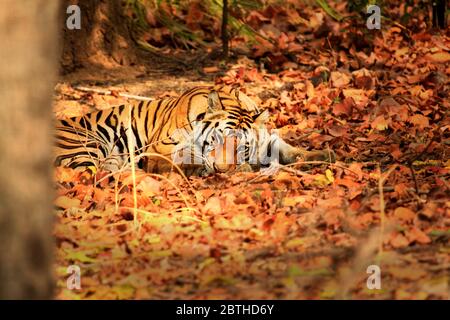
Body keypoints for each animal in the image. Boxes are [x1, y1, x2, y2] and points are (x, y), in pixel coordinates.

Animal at [53, 85, 334, 175]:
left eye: (242, 147)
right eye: (218, 139)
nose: (221, 169)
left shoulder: (266, 139)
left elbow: (286, 147)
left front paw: (321, 155)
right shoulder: (160, 147)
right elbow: (186, 156)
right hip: (88, 144)